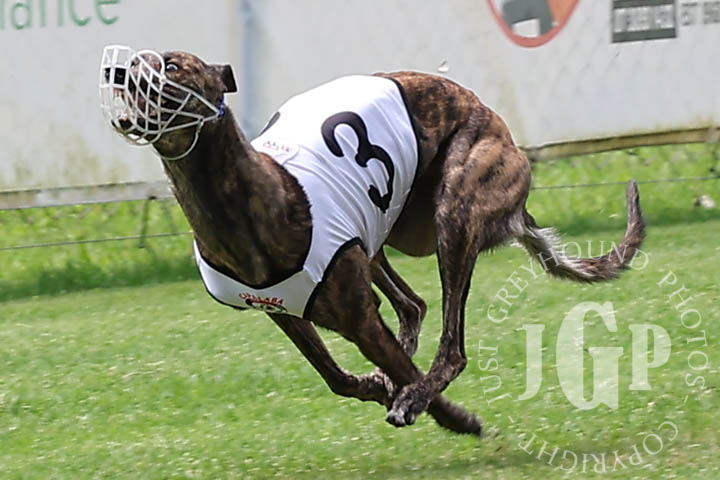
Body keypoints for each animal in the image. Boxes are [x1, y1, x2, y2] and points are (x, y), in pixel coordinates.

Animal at [100, 46, 645, 435]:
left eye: (172, 64)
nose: (118, 70)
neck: (254, 194)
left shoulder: (359, 317)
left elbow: (404, 370)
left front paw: (447, 415)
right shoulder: (286, 314)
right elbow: (336, 377)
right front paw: (378, 386)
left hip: (455, 210)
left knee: (450, 344)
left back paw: (420, 393)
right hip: (383, 233)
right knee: (413, 304)